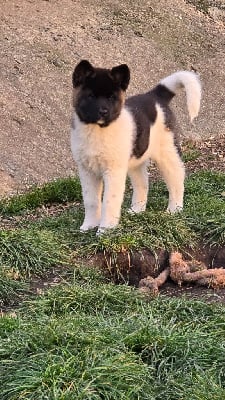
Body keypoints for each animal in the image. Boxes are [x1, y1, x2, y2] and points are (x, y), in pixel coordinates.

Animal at [71, 59, 201, 234]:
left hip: (167, 152)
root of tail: (155, 96)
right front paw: (89, 225)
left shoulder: (113, 171)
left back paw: (175, 209)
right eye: (91, 96)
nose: (103, 112)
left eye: (111, 97)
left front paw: (105, 230)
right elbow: (91, 201)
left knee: (176, 179)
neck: (97, 130)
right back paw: (137, 210)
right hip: (136, 161)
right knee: (143, 184)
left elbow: (109, 202)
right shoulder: (87, 171)